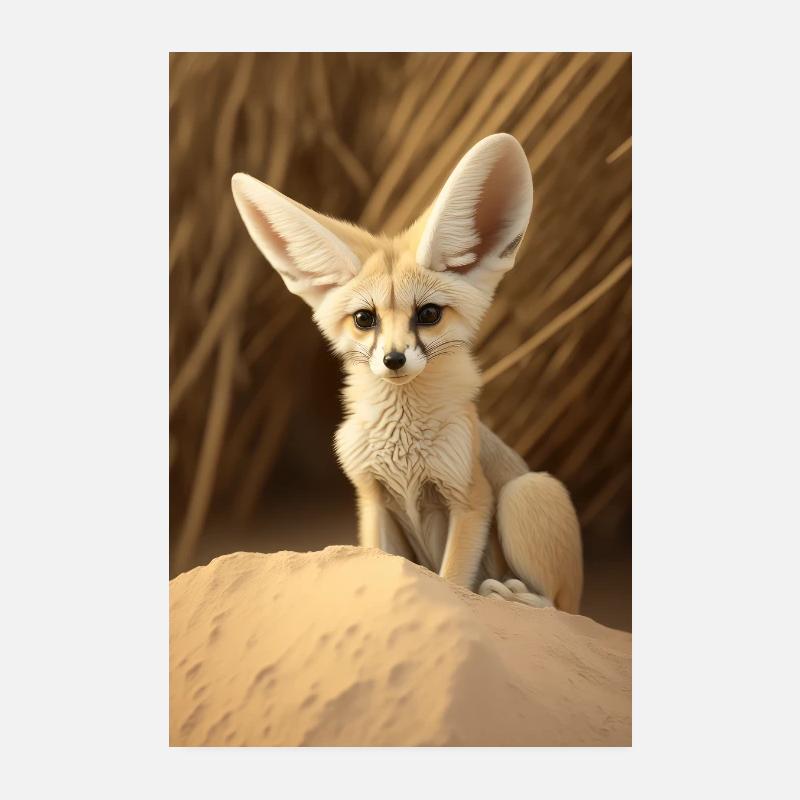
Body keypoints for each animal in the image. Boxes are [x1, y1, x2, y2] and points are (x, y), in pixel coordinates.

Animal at [231, 133, 583, 612]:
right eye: (365, 319)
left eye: (428, 314)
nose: (393, 360)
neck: (403, 449)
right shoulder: (372, 497)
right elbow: (380, 562)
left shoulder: (469, 497)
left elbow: (452, 581)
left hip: (526, 493)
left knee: (560, 608)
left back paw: (517, 596)